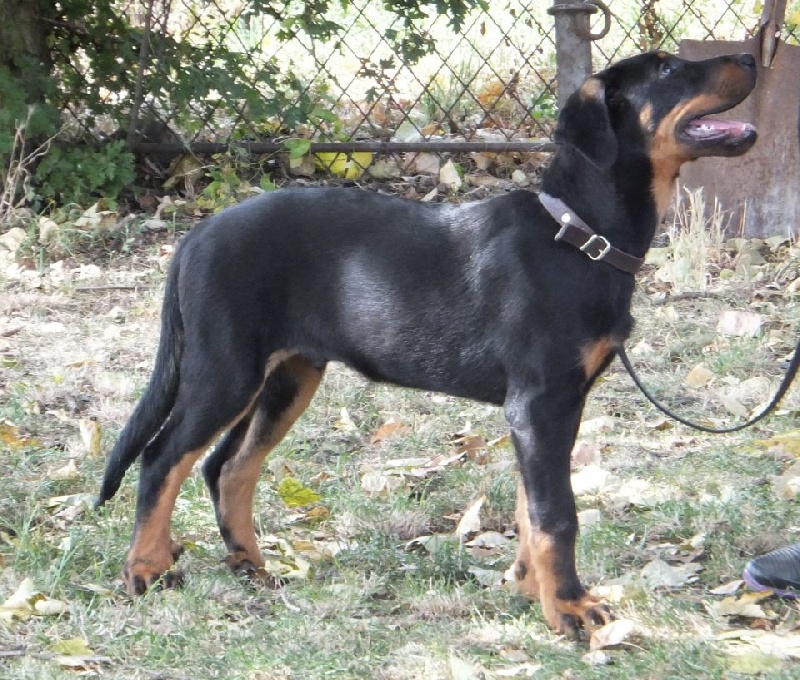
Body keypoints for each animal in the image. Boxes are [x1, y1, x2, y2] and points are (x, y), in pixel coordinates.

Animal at [98, 51, 756, 636]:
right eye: (668, 69)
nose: (752, 57)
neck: (580, 234)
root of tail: (195, 237)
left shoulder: (548, 409)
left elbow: (528, 505)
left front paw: (529, 587)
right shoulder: (541, 401)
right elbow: (555, 513)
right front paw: (569, 608)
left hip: (289, 375)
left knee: (227, 466)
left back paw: (250, 566)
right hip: (225, 369)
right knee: (163, 458)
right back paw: (145, 570)